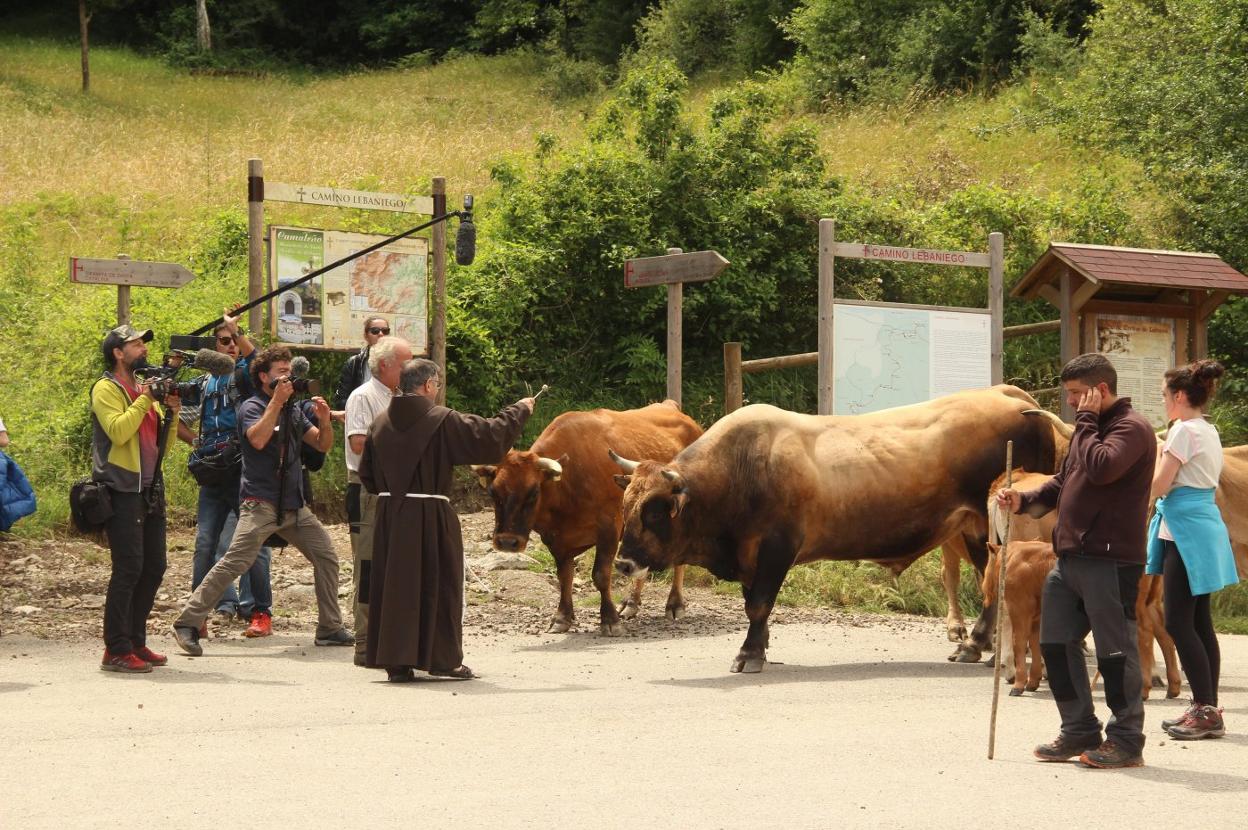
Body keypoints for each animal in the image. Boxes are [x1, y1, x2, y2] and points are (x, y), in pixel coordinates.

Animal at [471, 401, 703, 634]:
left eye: (534, 492)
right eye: (493, 492)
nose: (507, 542)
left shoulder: (609, 528)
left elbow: (601, 575)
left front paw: (609, 619)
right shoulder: (556, 539)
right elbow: (564, 576)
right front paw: (562, 617)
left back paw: (674, 604)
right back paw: (631, 603)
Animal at [609, 384, 1058, 668]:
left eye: (654, 511)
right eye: (626, 504)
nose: (623, 563)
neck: (742, 468)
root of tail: (1006, 393)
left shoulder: (776, 549)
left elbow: (758, 604)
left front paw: (750, 653)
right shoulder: (750, 557)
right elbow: (754, 603)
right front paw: (762, 645)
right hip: (975, 530)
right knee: (990, 585)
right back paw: (978, 646)